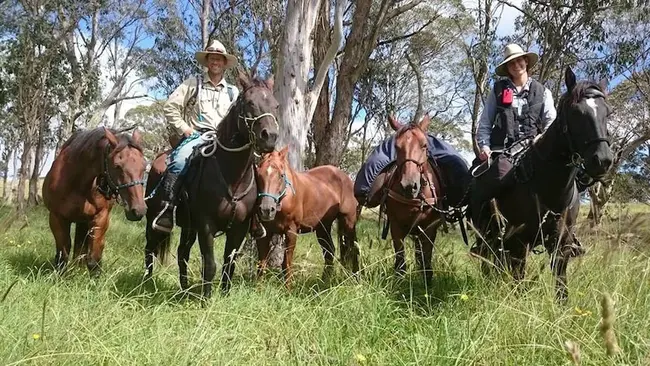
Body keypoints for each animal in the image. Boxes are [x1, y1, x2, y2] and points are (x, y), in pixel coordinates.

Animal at [43, 127, 147, 276]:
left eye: (144, 166)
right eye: (117, 165)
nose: (138, 210)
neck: (77, 181)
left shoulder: (100, 217)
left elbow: (94, 257)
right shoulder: (56, 218)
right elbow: (63, 254)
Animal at [144, 71, 278, 298]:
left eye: (276, 105)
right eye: (249, 102)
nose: (270, 137)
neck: (232, 177)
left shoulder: (239, 227)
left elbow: (228, 264)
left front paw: (224, 295)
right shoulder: (206, 225)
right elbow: (210, 265)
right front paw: (206, 300)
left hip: (188, 226)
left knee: (182, 253)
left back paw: (184, 290)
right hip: (153, 219)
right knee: (149, 249)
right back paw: (146, 285)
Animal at [254, 147, 360, 288]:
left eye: (281, 175)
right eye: (258, 174)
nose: (266, 209)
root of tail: (346, 178)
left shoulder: (291, 232)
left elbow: (287, 264)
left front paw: (288, 289)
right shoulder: (265, 233)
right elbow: (261, 263)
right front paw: (258, 289)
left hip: (348, 221)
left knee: (353, 249)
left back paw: (355, 279)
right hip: (323, 227)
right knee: (329, 252)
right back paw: (324, 283)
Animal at [380, 114, 446, 284]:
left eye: (424, 145)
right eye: (397, 147)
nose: (409, 186)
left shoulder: (429, 228)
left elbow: (426, 261)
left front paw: (427, 284)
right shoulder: (395, 226)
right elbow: (400, 263)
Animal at [466, 67, 612, 302]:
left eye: (607, 113)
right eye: (575, 112)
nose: (603, 160)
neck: (548, 187)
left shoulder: (561, 245)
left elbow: (561, 288)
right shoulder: (519, 243)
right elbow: (519, 283)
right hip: (489, 237)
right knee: (488, 264)